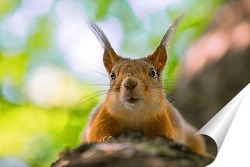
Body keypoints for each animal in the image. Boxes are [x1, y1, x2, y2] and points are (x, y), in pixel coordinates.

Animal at [81, 15, 207, 156]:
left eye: (152, 72)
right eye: (112, 75)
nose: (130, 83)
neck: (134, 115)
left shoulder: (161, 119)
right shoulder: (104, 116)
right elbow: (95, 133)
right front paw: (105, 138)